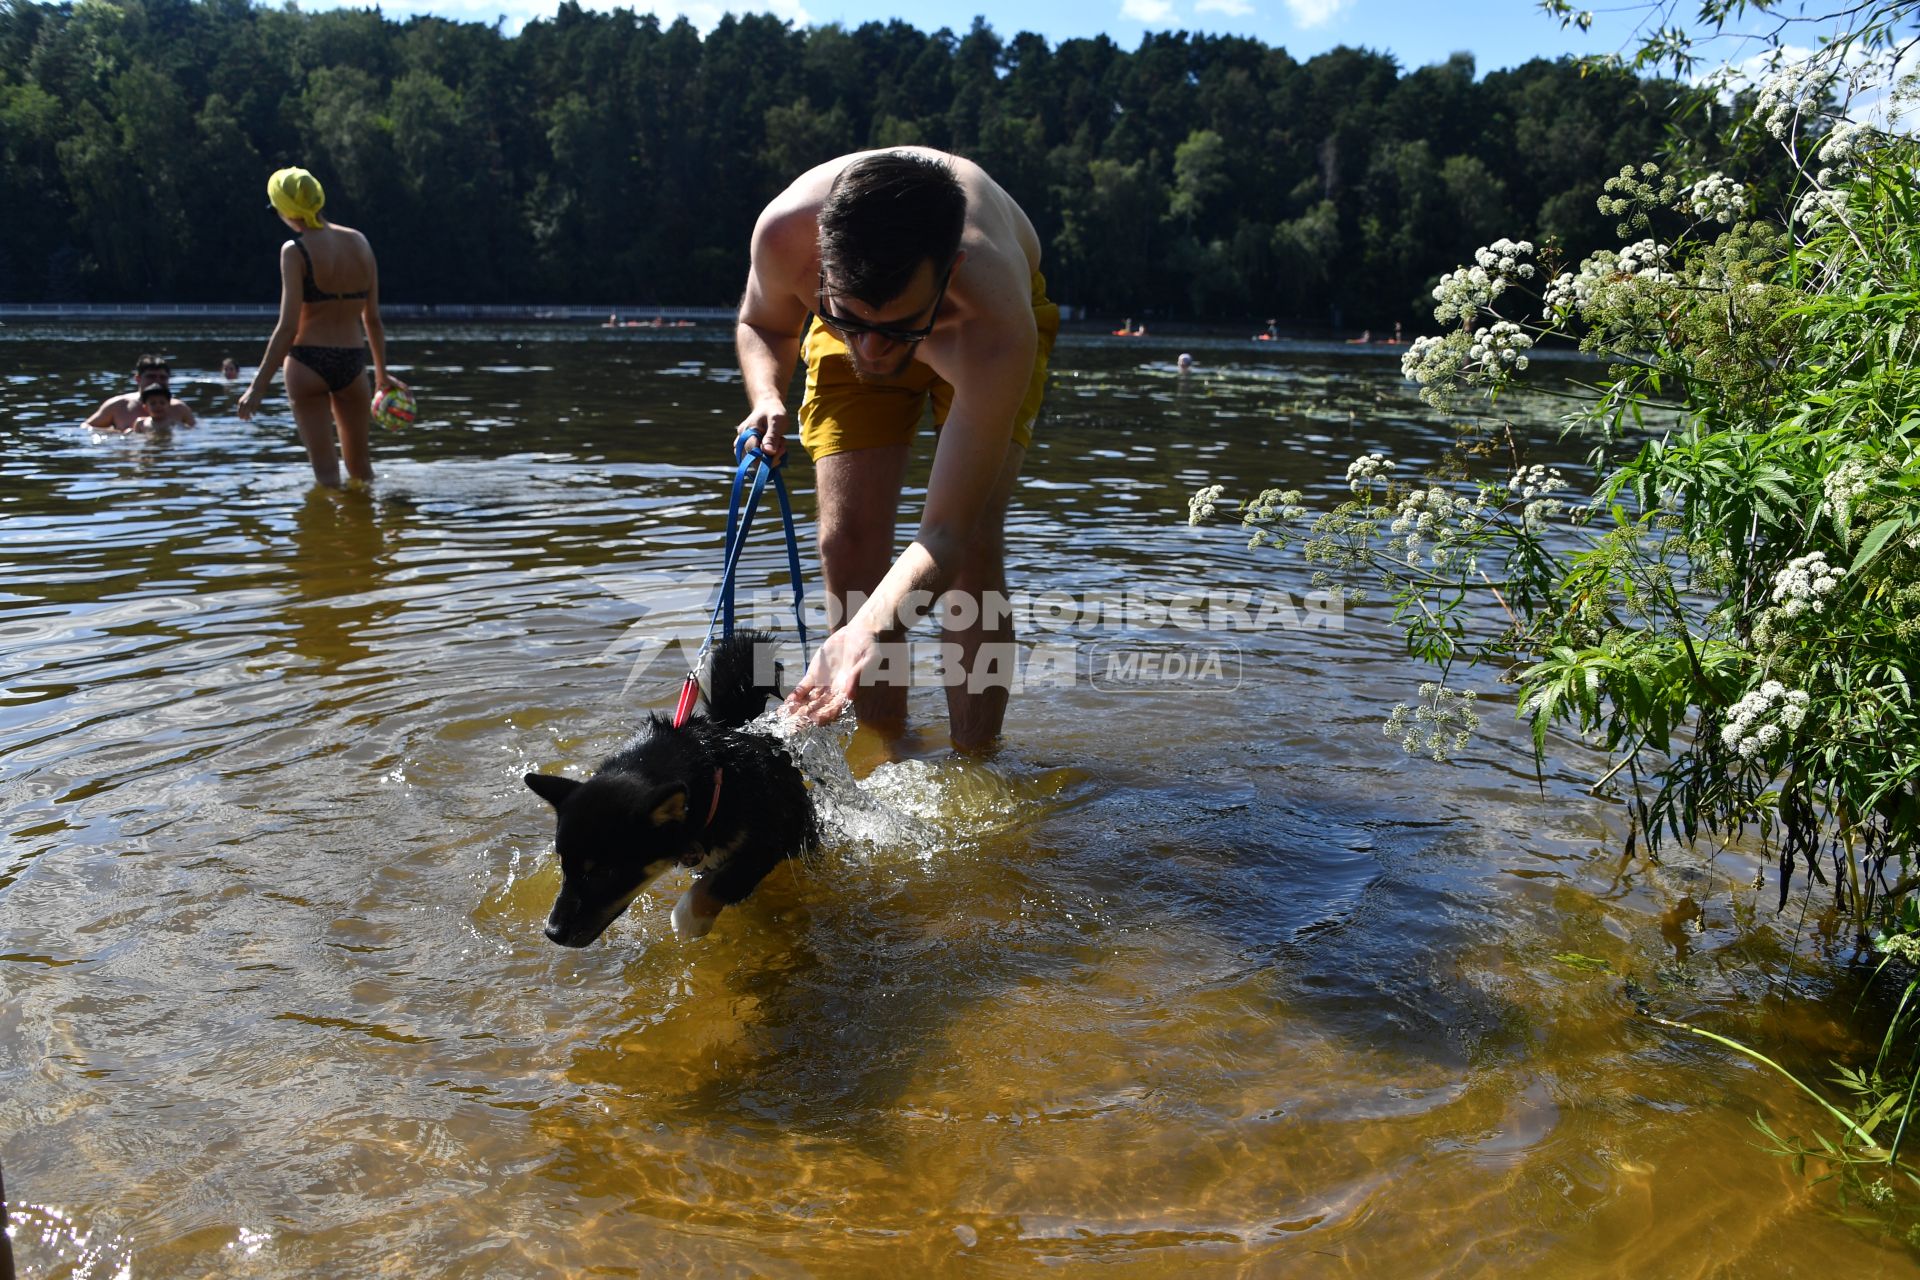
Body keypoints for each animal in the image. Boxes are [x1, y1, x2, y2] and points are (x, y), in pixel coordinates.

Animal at [526, 637, 817, 948]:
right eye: (563, 865)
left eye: (605, 872)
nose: (553, 933)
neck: (714, 777)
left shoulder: (767, 841)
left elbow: (716, 888)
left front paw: (690, 920)